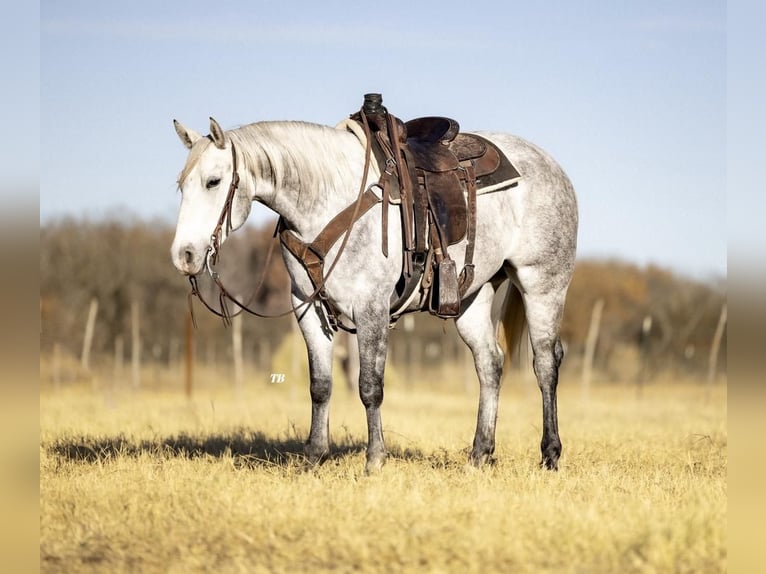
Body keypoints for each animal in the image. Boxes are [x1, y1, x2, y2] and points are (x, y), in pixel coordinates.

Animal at [171, 115, 580, 474]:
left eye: (213, 181)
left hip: (542, 284)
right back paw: (479, 455)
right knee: (490, 364)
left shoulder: (371, 309)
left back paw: (550, 455)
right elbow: (320, 386)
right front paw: (314, 458)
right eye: (181, 185)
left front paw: (374, 460)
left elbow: (370, 387)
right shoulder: (307, 308)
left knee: (545, 363)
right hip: (471, 297)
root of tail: (553, 168)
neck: (330, 201)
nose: (184, 255)